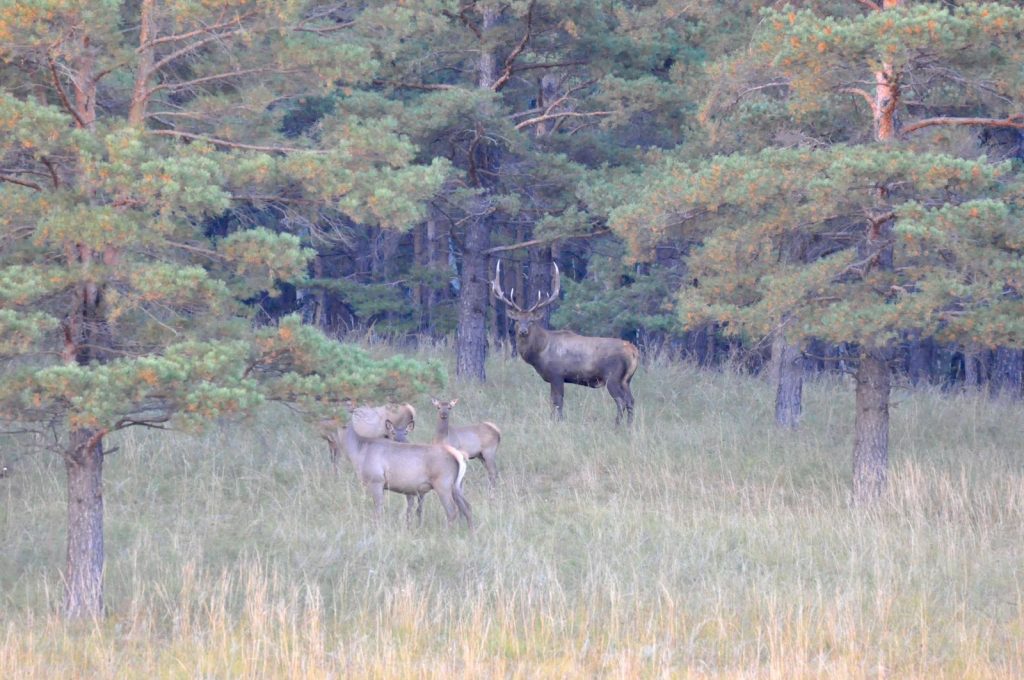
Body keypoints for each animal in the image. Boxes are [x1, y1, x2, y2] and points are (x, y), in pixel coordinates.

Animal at [489, 261, 638, 426]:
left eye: (531, 321)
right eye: (517, 320)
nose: (523, 331)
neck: (540, 353)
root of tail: (633, 350)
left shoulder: (557, 374)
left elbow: (558, 401)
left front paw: (558, 421)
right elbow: (553, 401)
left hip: (612, 376)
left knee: (621, 401)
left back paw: (617, 425)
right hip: (626, 380)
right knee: (631, 400)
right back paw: (630, 426)